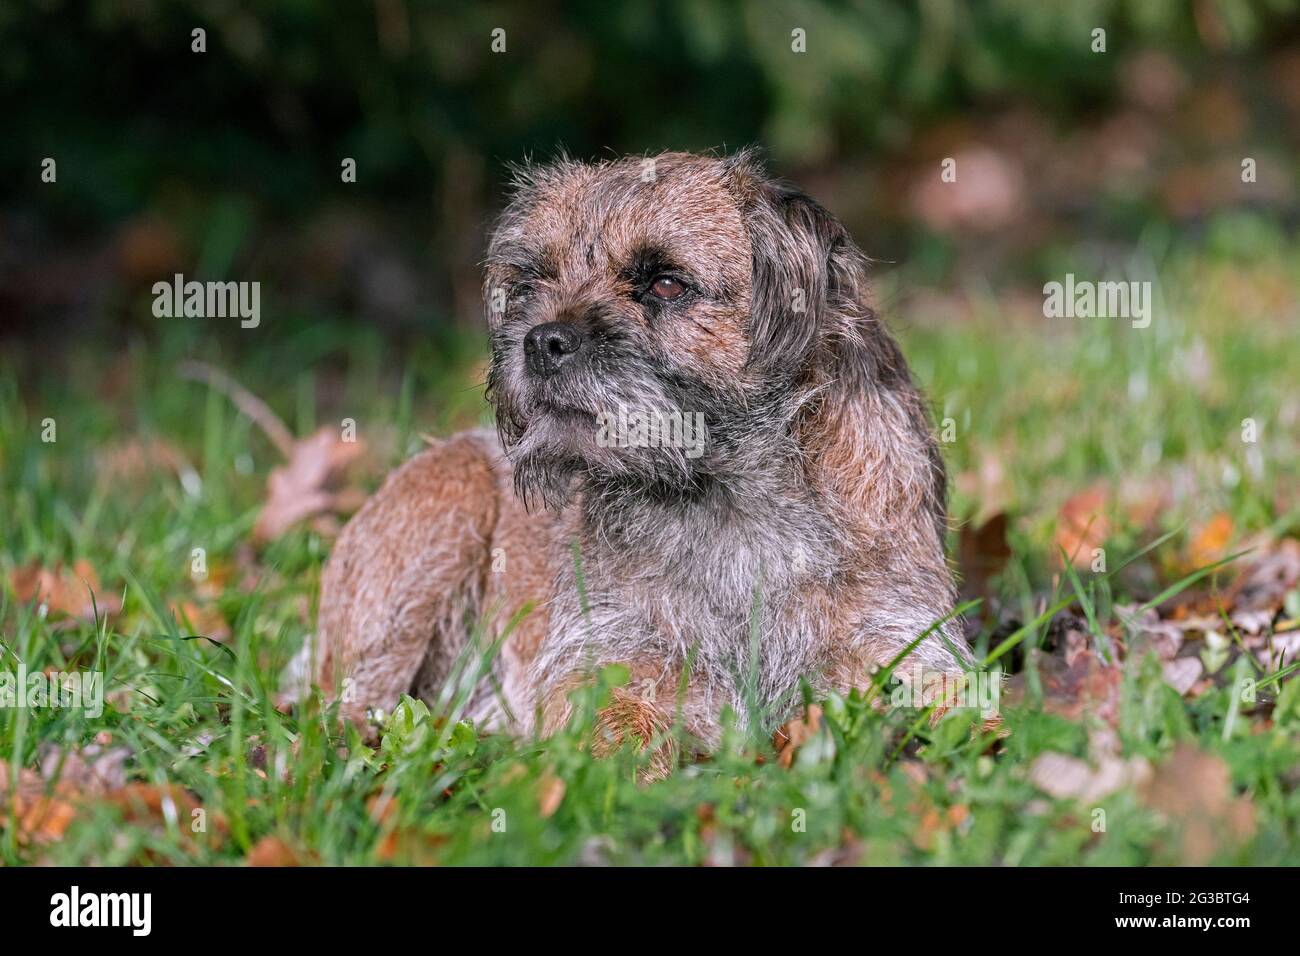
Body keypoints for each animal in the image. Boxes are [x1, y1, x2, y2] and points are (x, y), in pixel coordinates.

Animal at [309, 151, 972, 764]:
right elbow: (615, 731)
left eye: (666, 283)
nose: (541, 340)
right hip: (445, 510)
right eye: (529, 283)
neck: (729, 497)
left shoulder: (904, 643)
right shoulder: (605, 656)